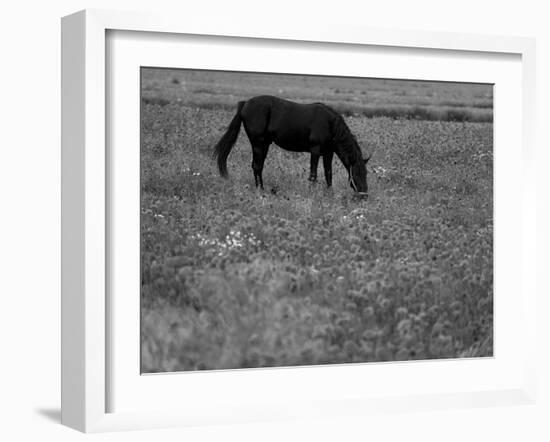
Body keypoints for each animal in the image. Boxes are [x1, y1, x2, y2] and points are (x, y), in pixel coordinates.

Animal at [213, 96, 374, 196]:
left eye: (366, 173)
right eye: (357, 173)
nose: (364, 195)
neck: (329, 124)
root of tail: (245, 104)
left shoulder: (328, 153)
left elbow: (328, 174)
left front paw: (329, 194)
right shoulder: (315, 151)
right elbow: (313, 175)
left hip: (264, 144)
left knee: (258, 166)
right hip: (258, 143)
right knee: (256, 166)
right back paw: (261, 190)